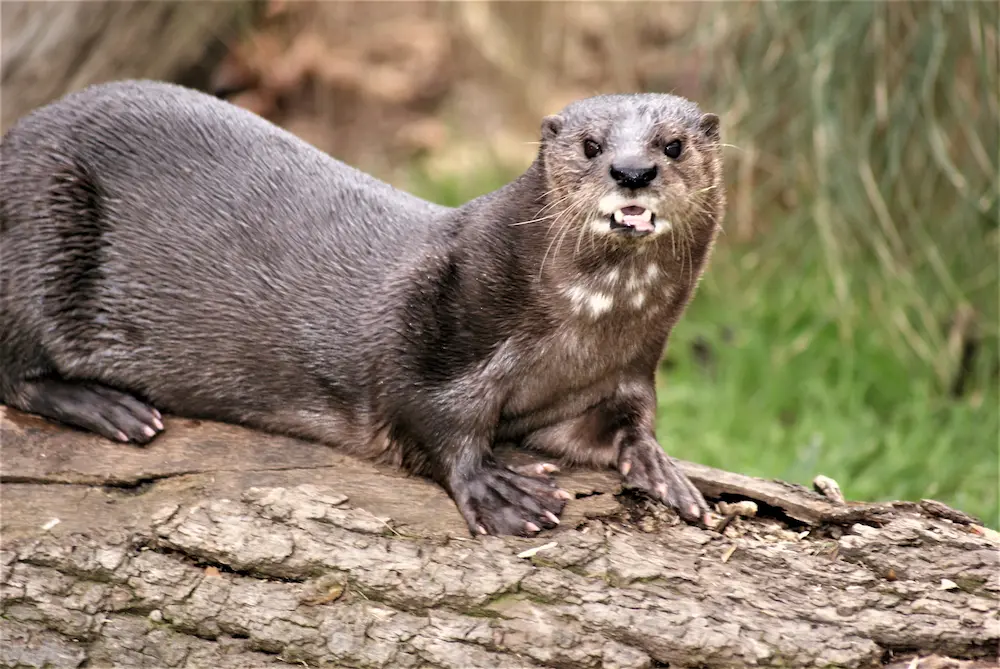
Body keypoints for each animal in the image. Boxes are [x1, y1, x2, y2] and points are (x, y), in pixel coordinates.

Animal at [0, 79, 724, 536]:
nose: (633, 173)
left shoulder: (618, 373)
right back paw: (110, 407)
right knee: (14, 369)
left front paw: (663, 469)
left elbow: (626, 424)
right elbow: (428, 414)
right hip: (39, 225)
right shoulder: (438, 330)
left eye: (673, 145)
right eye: (591, 146)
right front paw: (499, 490)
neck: (580, 335)